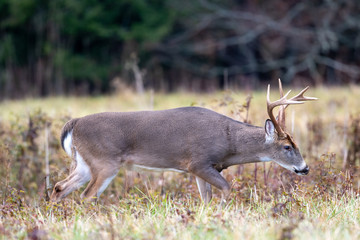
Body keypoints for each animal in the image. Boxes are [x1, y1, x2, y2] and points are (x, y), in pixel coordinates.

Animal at [50, 80, 316, 202]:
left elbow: (205, 198)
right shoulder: (198, 162)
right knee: (86, 196)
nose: (305, 168)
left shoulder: (202, 169)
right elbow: (226, 189)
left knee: (60, 186)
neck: (229, 142)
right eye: (287, 146)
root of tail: (74, 123)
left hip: (84, 163)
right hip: (105, 162)